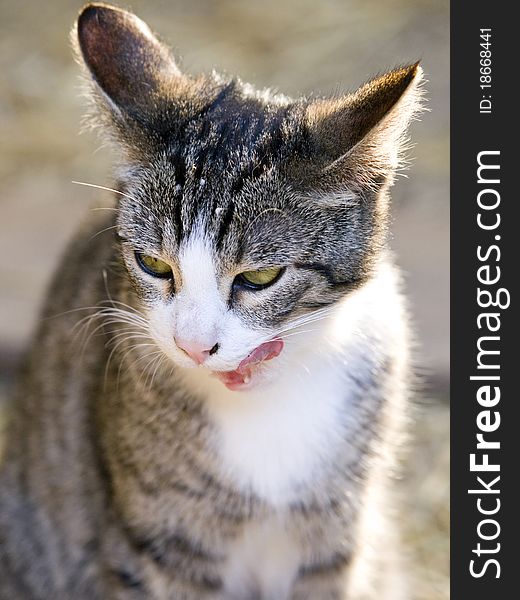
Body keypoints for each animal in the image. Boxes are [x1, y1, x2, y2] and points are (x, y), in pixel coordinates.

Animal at [0, 4, 422, 600]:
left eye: (261, 277)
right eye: (153, 264)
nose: (193, 346)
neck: (266, 398)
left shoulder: (335, 536)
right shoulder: (164, 544)